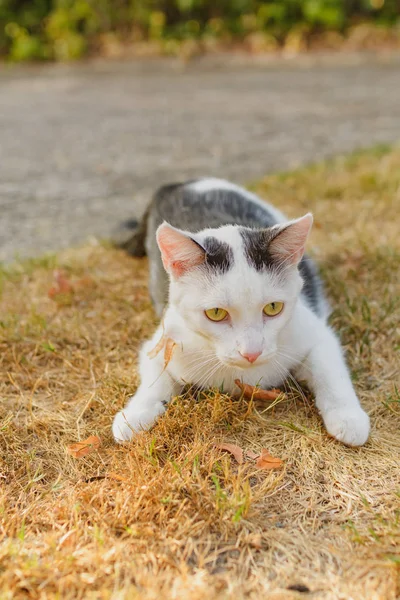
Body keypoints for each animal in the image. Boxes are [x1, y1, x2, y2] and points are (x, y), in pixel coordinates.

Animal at [111, 177, 370, 446]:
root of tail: (176, 184)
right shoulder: (168, 337)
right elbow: (154, 378)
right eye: (216, 313)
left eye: (273, 307)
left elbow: (330, 369)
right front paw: (134, 415)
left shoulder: (313, 330)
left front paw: (347, 416)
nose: (251, 353)